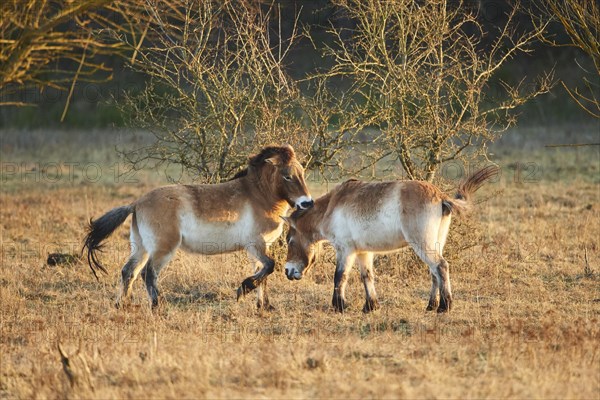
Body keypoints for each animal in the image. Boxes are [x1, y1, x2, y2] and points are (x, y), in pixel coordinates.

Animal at [82, 145, 314, 310]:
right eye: (287, 175)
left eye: (302, 173)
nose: (307, 203)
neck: (258, 195)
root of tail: (137, 203)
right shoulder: (255, 245)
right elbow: (269, 267)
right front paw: (243, 290)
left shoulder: (259, 248)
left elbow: (263, 273)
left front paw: (264, 306)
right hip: (163, 249)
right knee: (148, 273)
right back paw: (157, 306)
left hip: (141, 247)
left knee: (128, 271)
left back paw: (124, 305)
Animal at [284, 165, 500, 312]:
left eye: (289, 240)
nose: (288, 271)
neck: (333, 205)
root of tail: (441, 196)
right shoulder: (363, 252)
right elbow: (367, 276)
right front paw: (371, 306)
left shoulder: (345, 250)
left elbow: (340, 276)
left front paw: (340, 306)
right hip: (435, 243)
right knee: (434, 272)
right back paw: (431, 305)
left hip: (423, 244)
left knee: (440, 267)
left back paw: (444, 307)